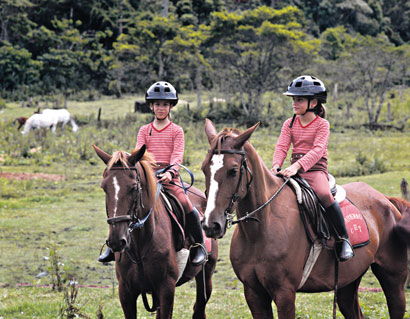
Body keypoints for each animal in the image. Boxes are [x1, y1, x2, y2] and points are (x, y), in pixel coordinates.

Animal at [92, 146, 218, 319]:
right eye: (104, 187)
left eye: (133, 187)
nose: (117, 241)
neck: (141, 245)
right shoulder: (126, 291)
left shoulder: (166, 289)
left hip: (206, 274)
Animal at [201, 119, 410, 318]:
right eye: (204, 169)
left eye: (233, 170)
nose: (211, 225)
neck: (260, 230)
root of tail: (386, 200)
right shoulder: (253, 293)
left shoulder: (285, 293)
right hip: (348, 282)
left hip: (393, 277)